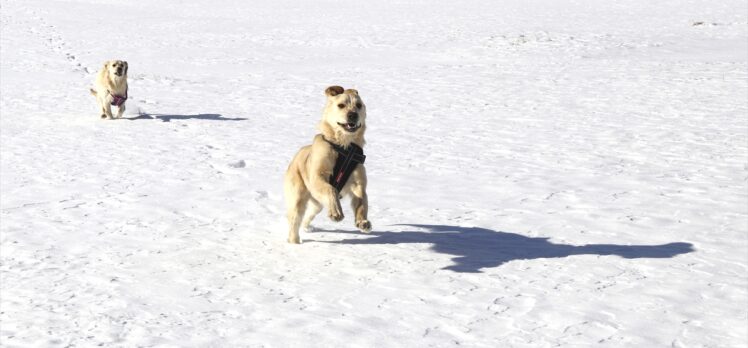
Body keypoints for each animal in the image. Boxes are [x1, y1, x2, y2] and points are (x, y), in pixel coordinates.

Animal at [284, 86, 372, 245]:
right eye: (341, 105)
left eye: (358, 105)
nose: (353, 115)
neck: (345, 148)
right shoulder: (317, 177)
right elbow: (331, 189)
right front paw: (336, 212)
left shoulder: (358, 183)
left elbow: (362, 201)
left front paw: (362, 222)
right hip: (297, 198)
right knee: (294, 221)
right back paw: (295, 242)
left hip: (317, 204)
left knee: (309, 214)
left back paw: (307, 227)